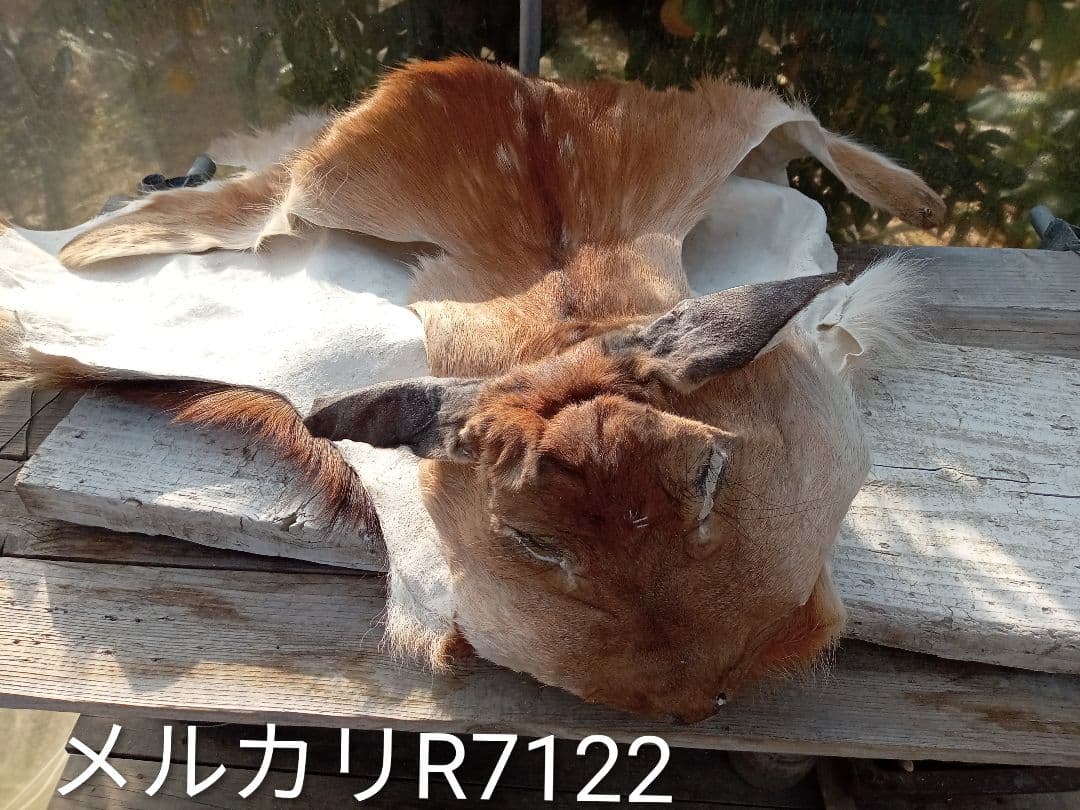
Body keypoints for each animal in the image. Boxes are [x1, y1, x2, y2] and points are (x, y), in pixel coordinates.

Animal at [14, 57, 944, 722]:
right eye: (525, 537)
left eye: (711, 471)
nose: (694, 701)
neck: (560, 335)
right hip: (305, 189)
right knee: (227, 204)